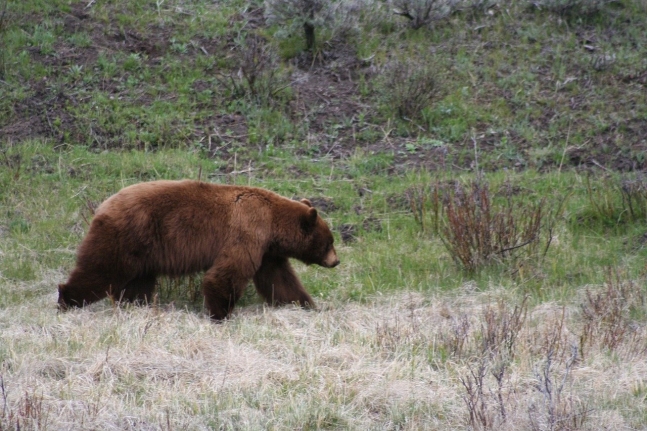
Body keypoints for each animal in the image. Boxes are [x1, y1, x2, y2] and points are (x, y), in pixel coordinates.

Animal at [57, 180, 340, 320]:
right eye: (329, 242)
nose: (336, 261)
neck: (272, 223)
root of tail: (102, 206)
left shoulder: (268, 252)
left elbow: (280, 280)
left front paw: (305, 305)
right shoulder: (248, 231)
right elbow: (227, 272)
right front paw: (220, 313)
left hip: (142, 251)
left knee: (137, 283)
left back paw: (136, 306)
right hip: (125, 236)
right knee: (100, 270)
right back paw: (66, 300)